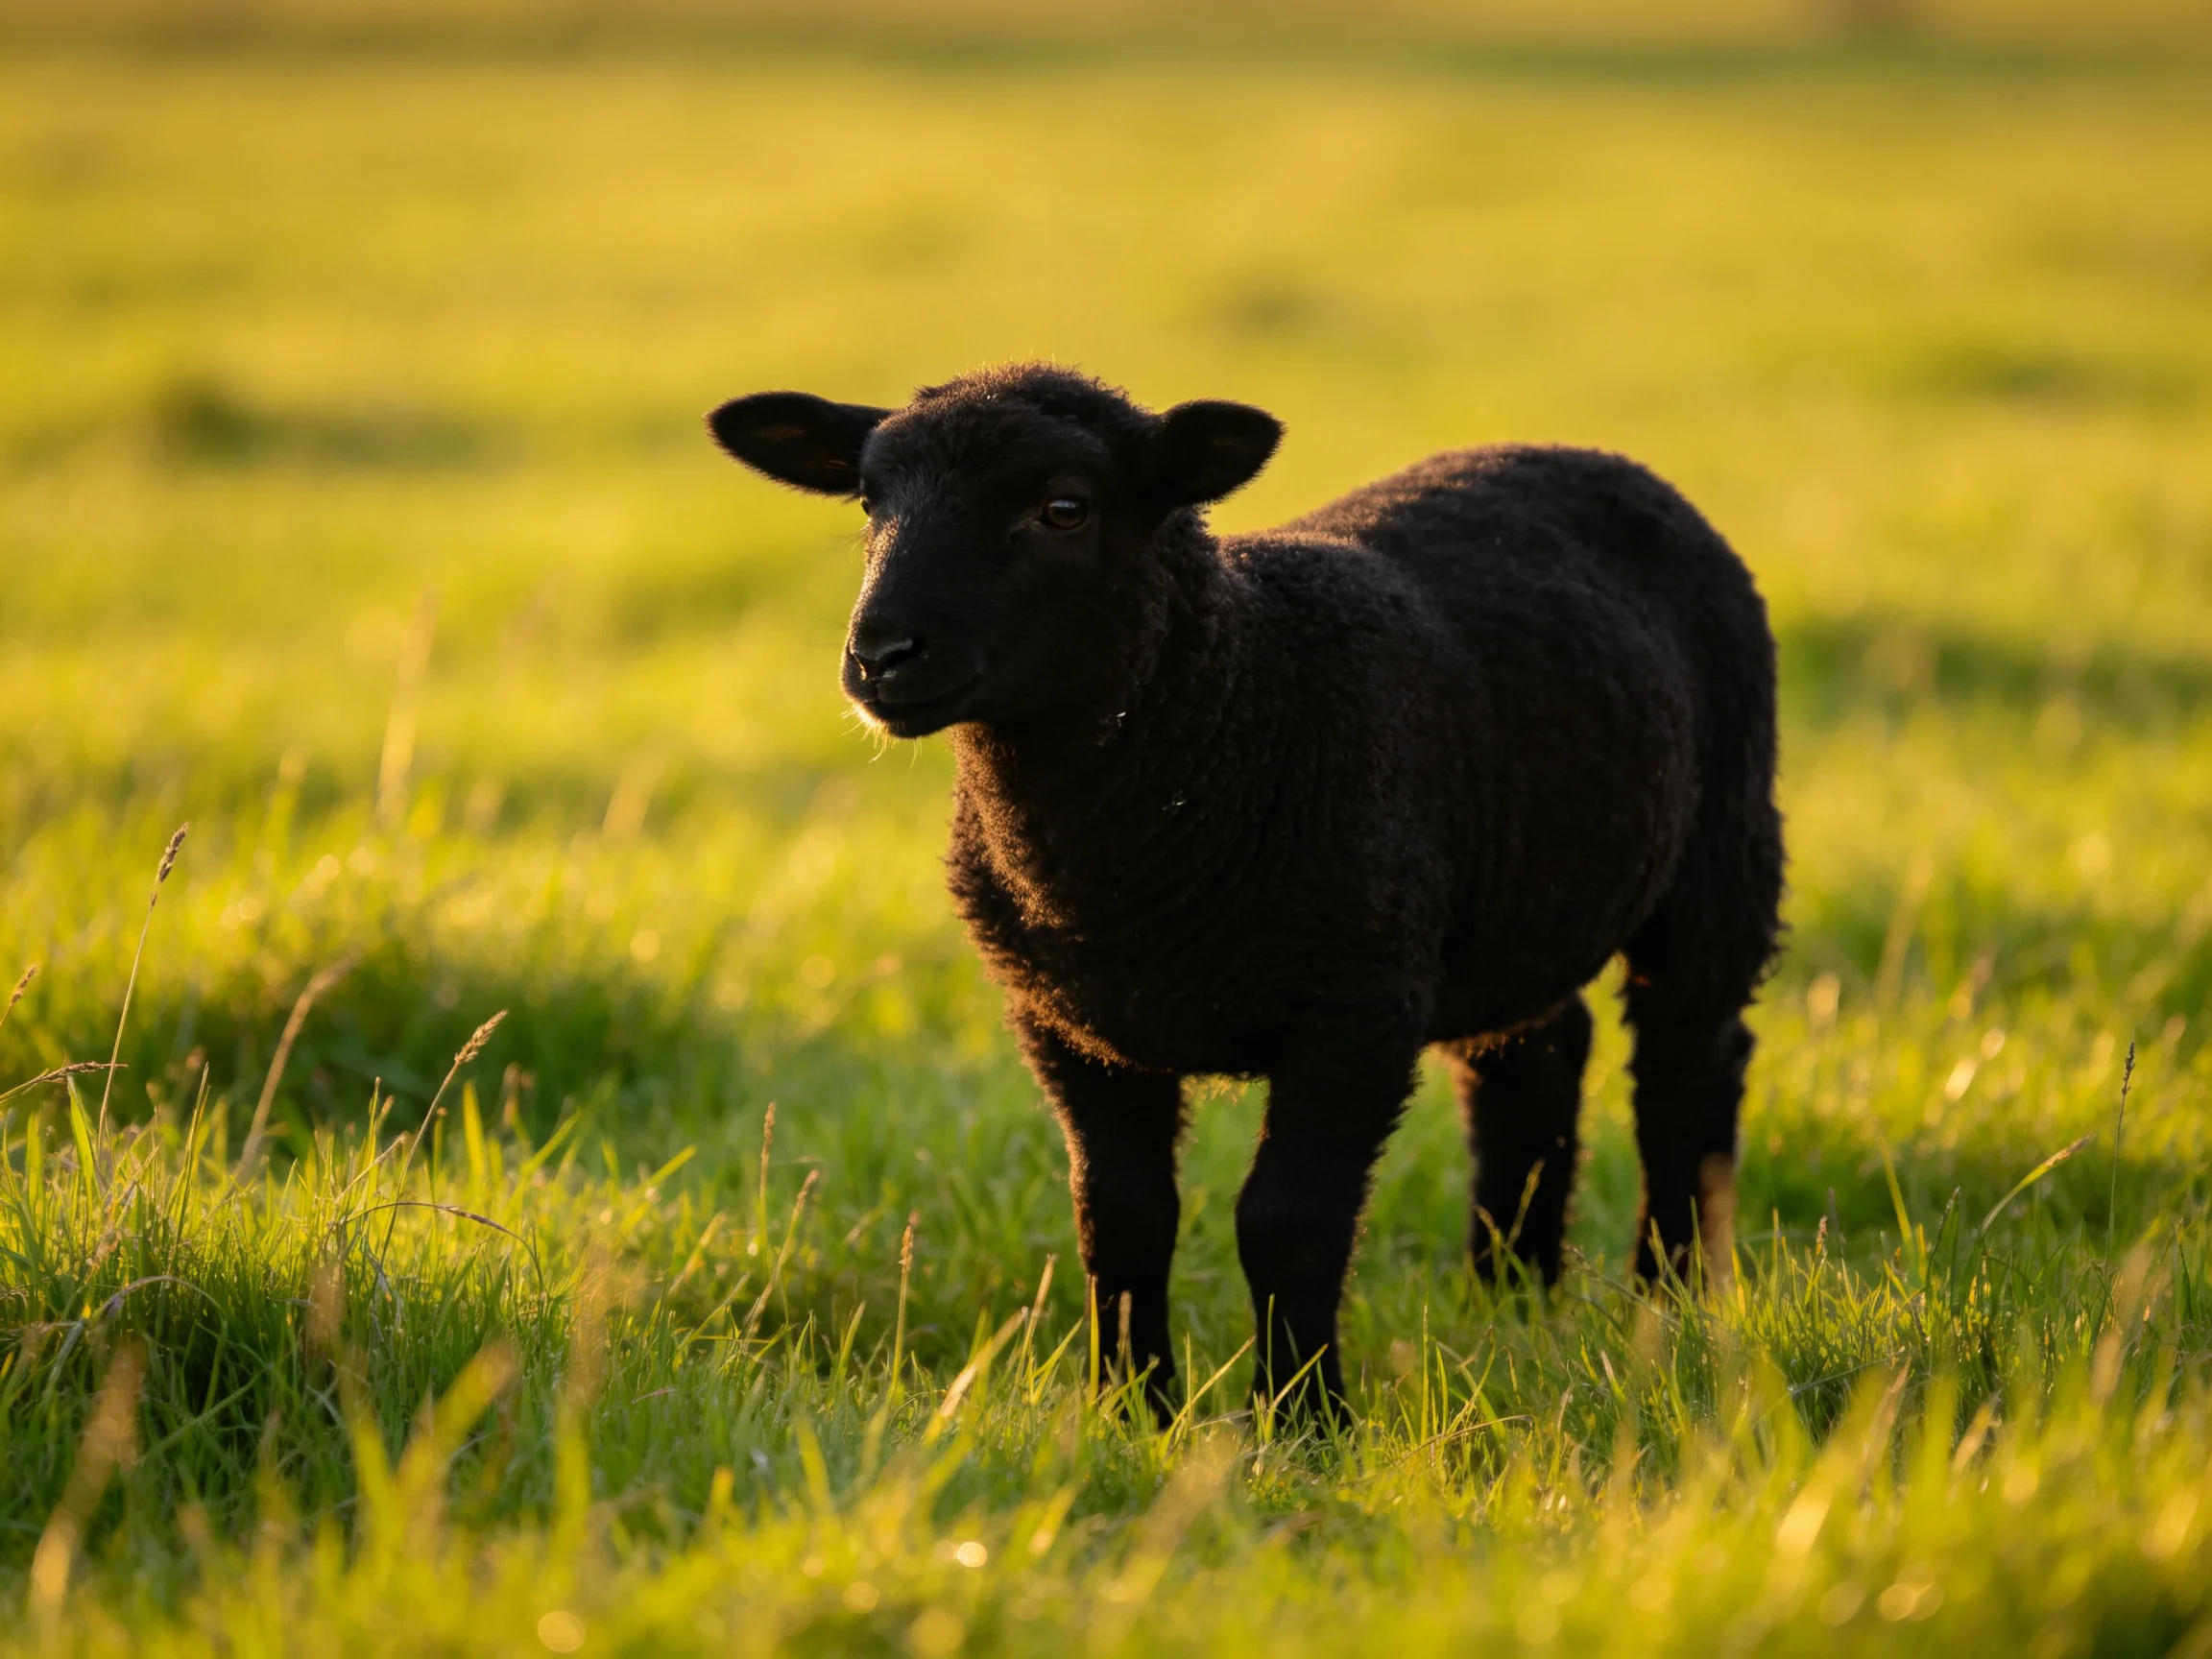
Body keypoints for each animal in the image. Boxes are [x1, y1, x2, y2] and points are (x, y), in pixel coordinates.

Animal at [707, 362, 1784, 1417]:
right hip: (1511, 907)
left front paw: (1303, 1419)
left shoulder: (1355, 1016)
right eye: (869, 501)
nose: (881, 655)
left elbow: (1286, 1222)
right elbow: (1121, 1218)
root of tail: (1567, 448)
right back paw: (1510, 1299)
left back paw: (1670, 1304)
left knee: (1688, 1070)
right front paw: (1131, 1409)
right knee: (1534, 1063)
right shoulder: (1068, 1025)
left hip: (1722, 851)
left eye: (1065, 507)